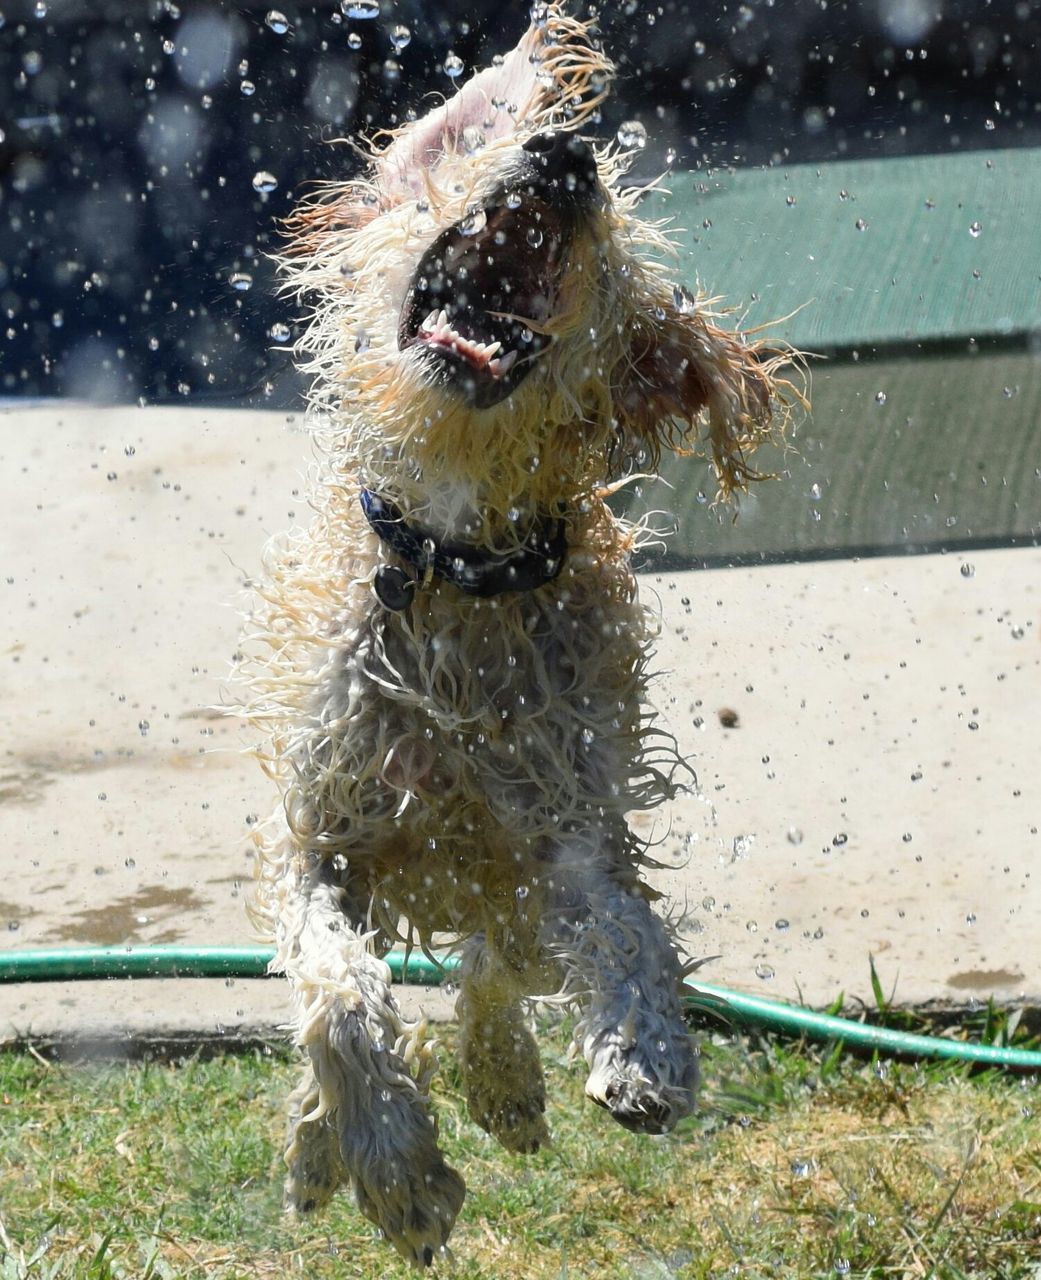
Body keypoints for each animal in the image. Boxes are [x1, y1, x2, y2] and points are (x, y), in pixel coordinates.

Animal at [242, 2, 788, 1269]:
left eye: (613, 246)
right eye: (487, 149)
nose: (566, 158)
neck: (453, 572)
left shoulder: (571, 816)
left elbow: (624, 924)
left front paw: (648, 1051)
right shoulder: (317, 836)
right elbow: (338, 997)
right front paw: (395, 1170)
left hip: (511, 870)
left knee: (497, 965)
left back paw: (503, 1085)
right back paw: (321, 1146)